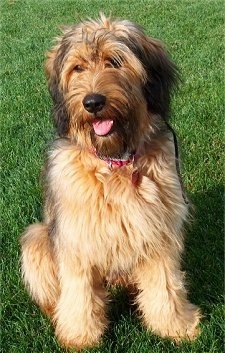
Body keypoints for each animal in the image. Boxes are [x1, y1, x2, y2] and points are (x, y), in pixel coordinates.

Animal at [20, 14, 200, 350]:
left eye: (114, 61)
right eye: (77, 68)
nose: (92, 102)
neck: (115, 161)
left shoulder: (158, 234)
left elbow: (165, 286)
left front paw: (177, 327)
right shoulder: (76, 241)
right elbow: (79, 295)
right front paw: (79, 338)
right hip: (37, 238)